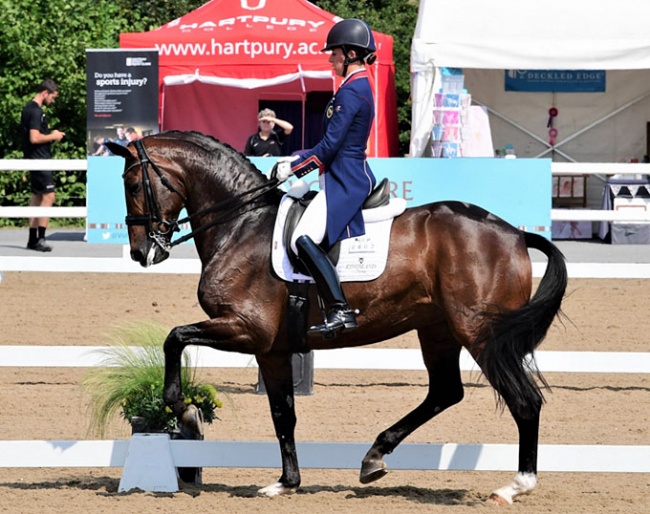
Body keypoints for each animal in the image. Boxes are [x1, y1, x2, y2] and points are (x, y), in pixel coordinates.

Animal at [105, 130, 560, 502]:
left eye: (132, 184)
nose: (142, 252)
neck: (241, 225)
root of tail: (515, 233)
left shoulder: (247, 331)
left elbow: (174, 337)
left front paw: (185, 413)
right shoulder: (271, 350)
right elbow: (283, 414)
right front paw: (286, 482)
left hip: (480, 333)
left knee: (525, 400)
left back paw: (516, 486)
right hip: (438, 330)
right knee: (445, 392)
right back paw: (374, 457)